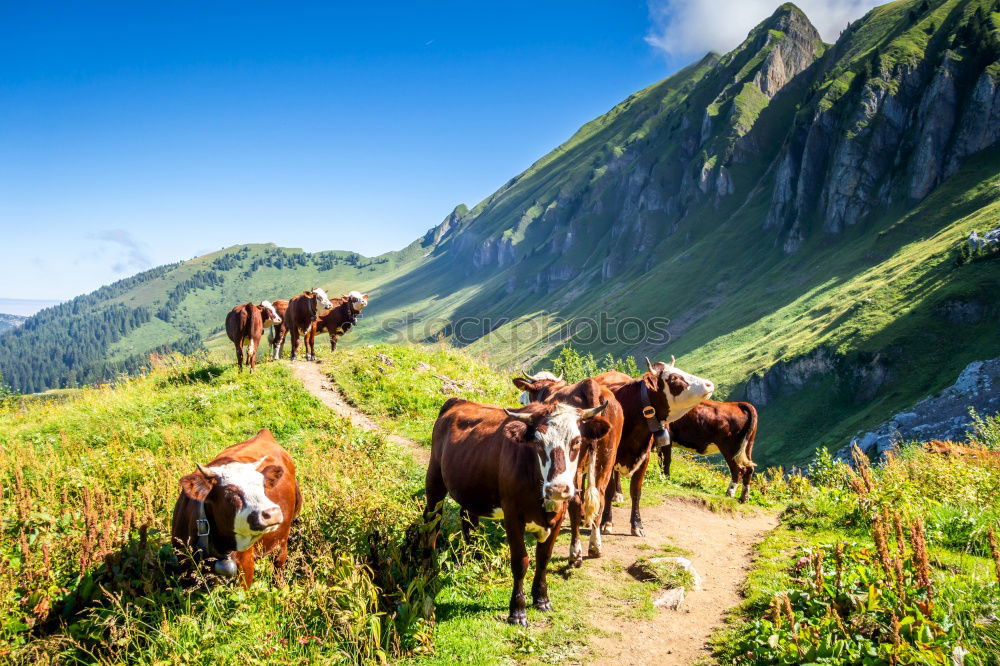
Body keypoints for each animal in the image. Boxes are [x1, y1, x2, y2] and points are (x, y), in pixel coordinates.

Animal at [171, 426, 300, 588]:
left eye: (263, 485)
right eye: (230, 492)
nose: (272, 513)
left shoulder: (246, 563)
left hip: (282, 540)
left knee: (278, 564)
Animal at [424, 394, 608, 624]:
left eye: (576, 441)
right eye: (538, 443)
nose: (557, 488)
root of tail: (458, 401)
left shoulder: (558, 516)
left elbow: (543, 558)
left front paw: (541, 599)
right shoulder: (512, 516)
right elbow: (521, 562)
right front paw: (517, 610)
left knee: (467, 518)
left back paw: (474, 558)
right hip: (434, 480)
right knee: (432, 521)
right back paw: (428, 563)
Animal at [512, 374, 620, 564]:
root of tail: (590, 385)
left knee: (575, 501)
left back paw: (575, 552)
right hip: (607, 459)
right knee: (599, 496)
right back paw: (595, 546)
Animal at [588, 358, 716, 536]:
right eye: (674, 378)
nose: (709, 384)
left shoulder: (644, 456)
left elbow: (636, 491)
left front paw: (637, 525)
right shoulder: (610, 455)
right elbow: (607, 490)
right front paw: (607, 522)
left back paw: (618, 494)